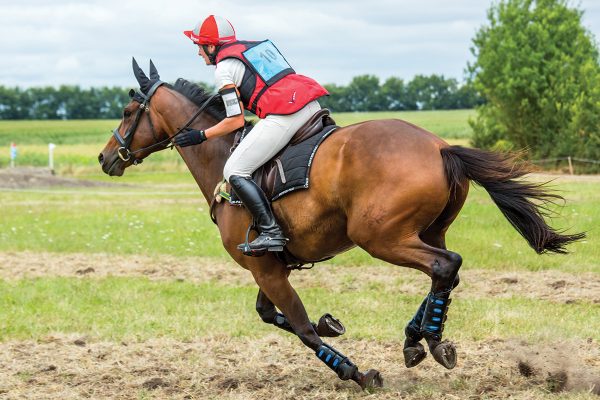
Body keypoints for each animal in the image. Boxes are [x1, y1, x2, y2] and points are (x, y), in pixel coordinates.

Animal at [99, 61, 584, 390]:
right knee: (447, 270)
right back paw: (416, 339)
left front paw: (355, 371)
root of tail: (440, 147)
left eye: (126, 109)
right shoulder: (270, 264)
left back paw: (430, 339)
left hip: (381, 237)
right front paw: (333, 325)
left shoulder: (265, 268)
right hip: (423, 231)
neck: (222, 159)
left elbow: (300, 327)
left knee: (445, 265)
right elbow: (273, 315)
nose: (106, 158)